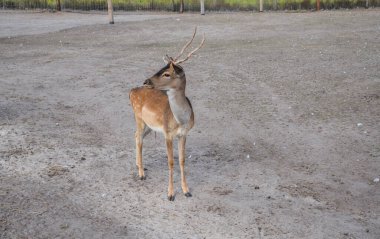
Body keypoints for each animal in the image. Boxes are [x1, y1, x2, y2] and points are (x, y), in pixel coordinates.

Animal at [129, 27, 205, 201]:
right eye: (160, 68)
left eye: (167, 74)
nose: (146, 81)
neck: (181, 120)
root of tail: (131, 91)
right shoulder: (167, 133)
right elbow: (170, 161)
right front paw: (170, 194)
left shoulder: (183, 134)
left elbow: (182, 160)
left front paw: (186, 190)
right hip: (139, 117)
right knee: (138, 138)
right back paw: (141, 173)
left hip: (150, 125)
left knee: (137, 136)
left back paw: (139, 165)